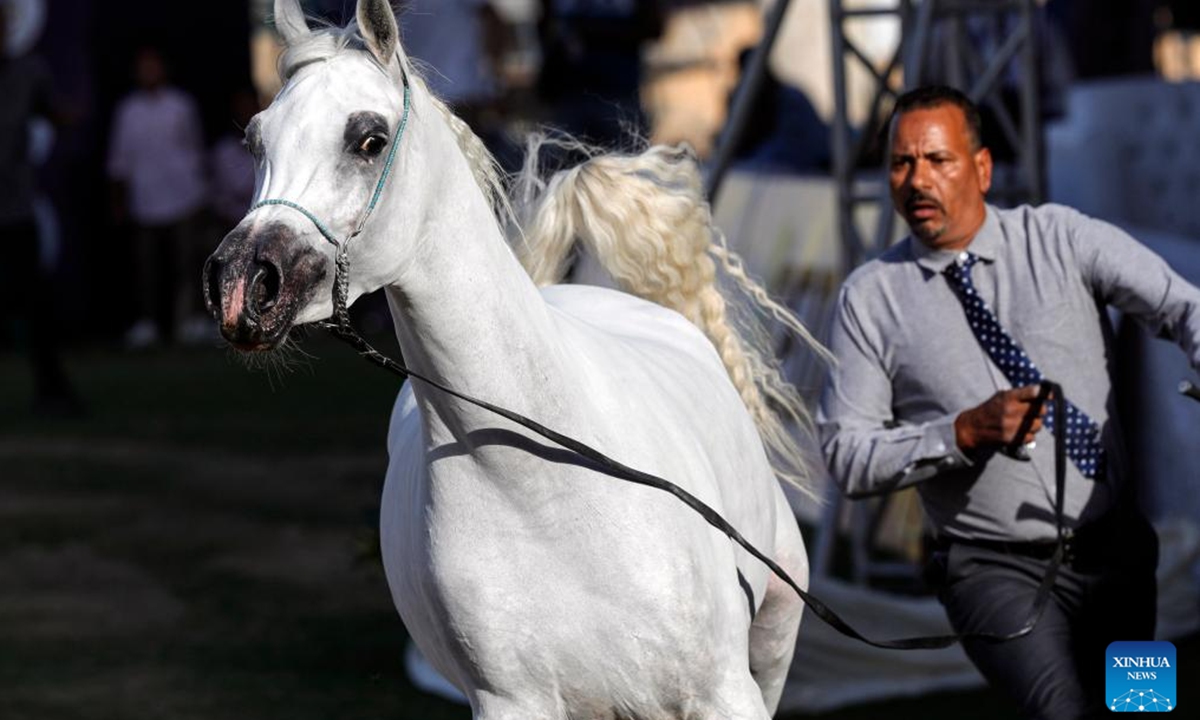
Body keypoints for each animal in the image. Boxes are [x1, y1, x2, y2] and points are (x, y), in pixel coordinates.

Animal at [204, 1, 825, 717]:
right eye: (256, 142)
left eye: (369, 139)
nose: (241, 284)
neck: (549, 486)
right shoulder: (512, 701)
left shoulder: (725, 692)